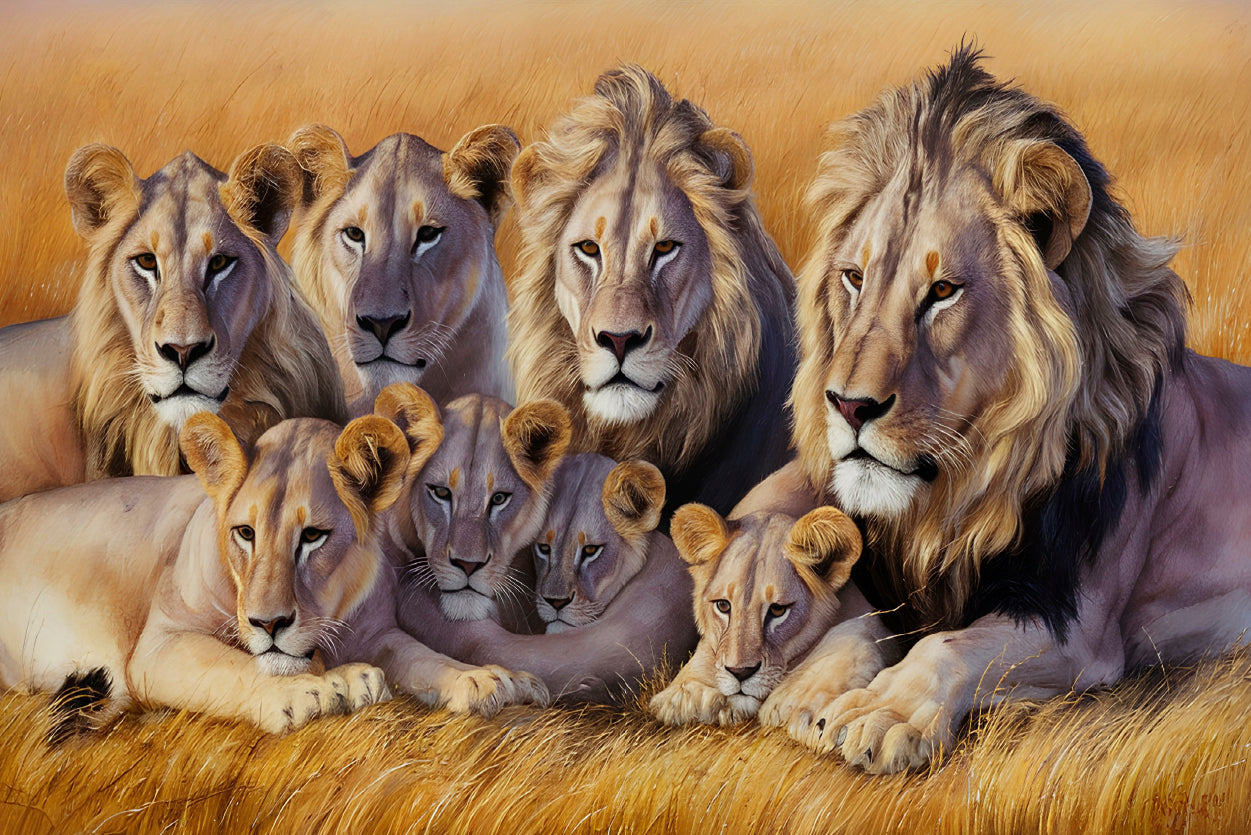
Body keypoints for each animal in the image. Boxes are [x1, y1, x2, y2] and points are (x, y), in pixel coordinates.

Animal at [0, 405, 545, 739]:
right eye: (246, 533)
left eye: (313, 536)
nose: (269, 623)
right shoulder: (161, 643)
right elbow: (233, 666)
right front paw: (317, 688)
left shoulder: (376, 632)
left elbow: (422, 656)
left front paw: (488, 680)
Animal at [739, 47, 1251, 774]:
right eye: (854, 278)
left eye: (942, 291)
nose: (848, 405)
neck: (963, 494)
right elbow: (858, 616)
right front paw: (807, 690)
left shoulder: (1078, 626)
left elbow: (951, 644)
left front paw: (881, 712)